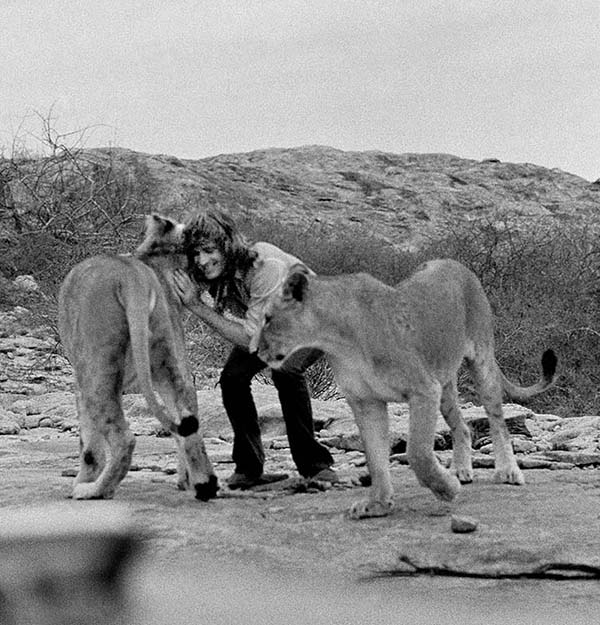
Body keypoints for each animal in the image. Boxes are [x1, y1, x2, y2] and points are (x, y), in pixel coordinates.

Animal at [57, 214, 218, 502]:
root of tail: (132, 277)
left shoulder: (79, 382)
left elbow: (89, 445)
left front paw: (84, 478)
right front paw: (185, 480)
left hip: (96, 367)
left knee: (124, 438)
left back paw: (91, 490)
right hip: (165, 360)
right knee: (188, 423)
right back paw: (205, 485)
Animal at [255, 258, 556, 516]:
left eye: (268, 318)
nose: (256, 351)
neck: (337, 339)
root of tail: (455, 264)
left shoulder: (423, 390)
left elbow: (417, 452)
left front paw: (445, 489)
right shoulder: (366, 402)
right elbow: (376, 458)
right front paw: (378, 504)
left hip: (480, 361)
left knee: (497, 421)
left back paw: (508, 472)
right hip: (444, 384)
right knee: (463, 426)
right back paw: (460, 470)